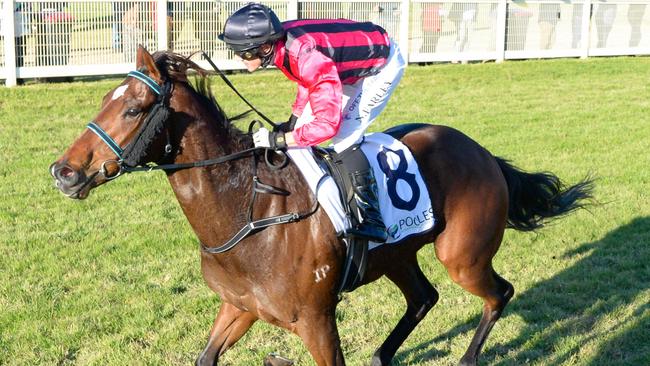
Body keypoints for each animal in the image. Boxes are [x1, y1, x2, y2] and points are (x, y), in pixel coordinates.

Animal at [48, 46, 588, 366]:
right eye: (103, 99)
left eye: (133, 108)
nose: (64, 171)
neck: (249, 211)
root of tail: (484, 153)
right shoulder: (240, 306)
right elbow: (207, 356)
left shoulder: (316, 322)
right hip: (398, 255)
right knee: (423, 298)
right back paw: (382, 356)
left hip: (463, 256)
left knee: (499, 293)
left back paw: (468, 358)